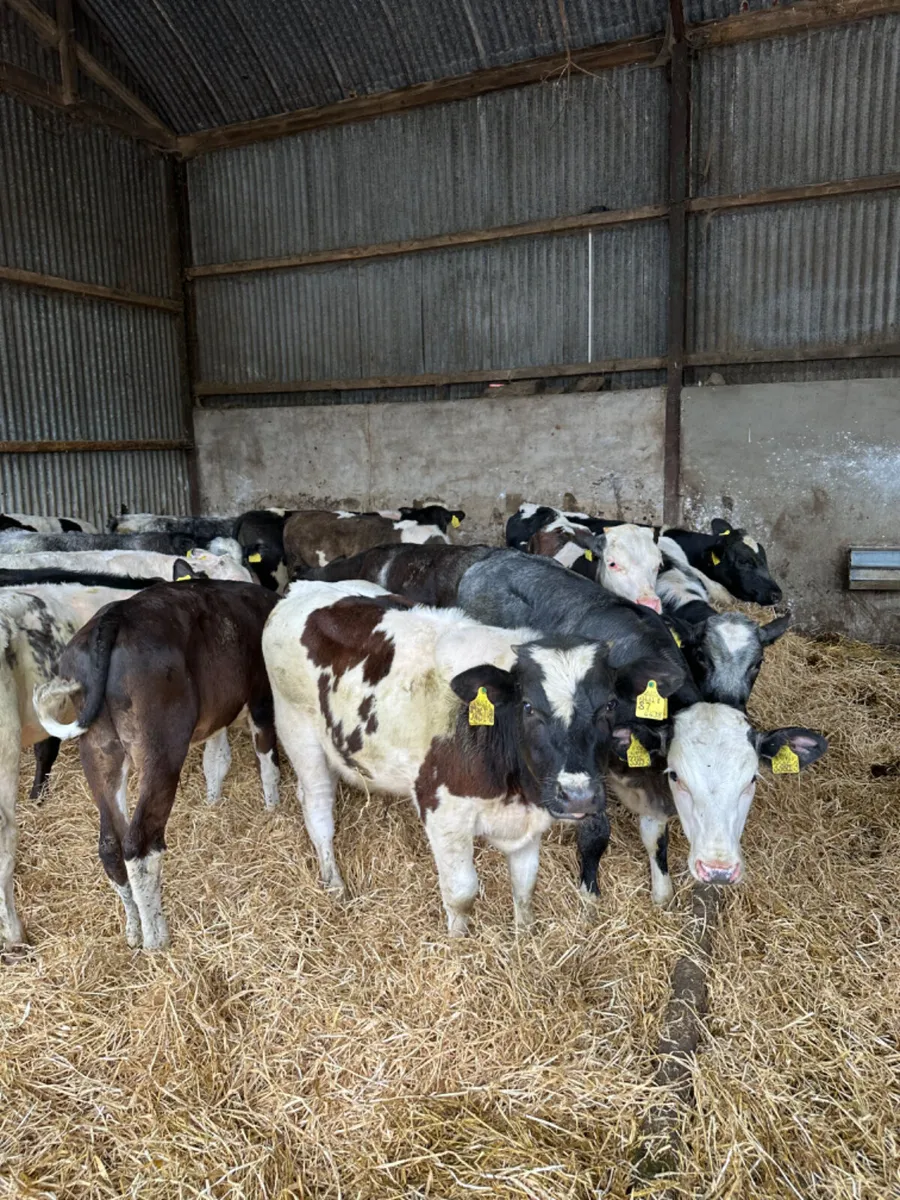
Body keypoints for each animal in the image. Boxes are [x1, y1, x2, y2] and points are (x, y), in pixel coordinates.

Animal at [34, 579, 281, 950]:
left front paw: (213, 800)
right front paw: (273, 808)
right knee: (140, 841)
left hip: (98, 747)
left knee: (110, 843)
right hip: (161, 746)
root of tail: (114, 615)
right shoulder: (262, 697)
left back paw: (134, 930)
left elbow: (216, 759)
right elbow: (267, 760)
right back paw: (155, 938)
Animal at [262, 579, 639, 936]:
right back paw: (335, 884)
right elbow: (462, 893)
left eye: (609, 705)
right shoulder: (443, 812)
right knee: (318, 809)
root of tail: (302, 588)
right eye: (529, 707)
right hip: (298, 731)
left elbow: (525, 886)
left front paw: (525, 937)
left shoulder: (529, 820)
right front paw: (459, 941)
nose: (579, 796)